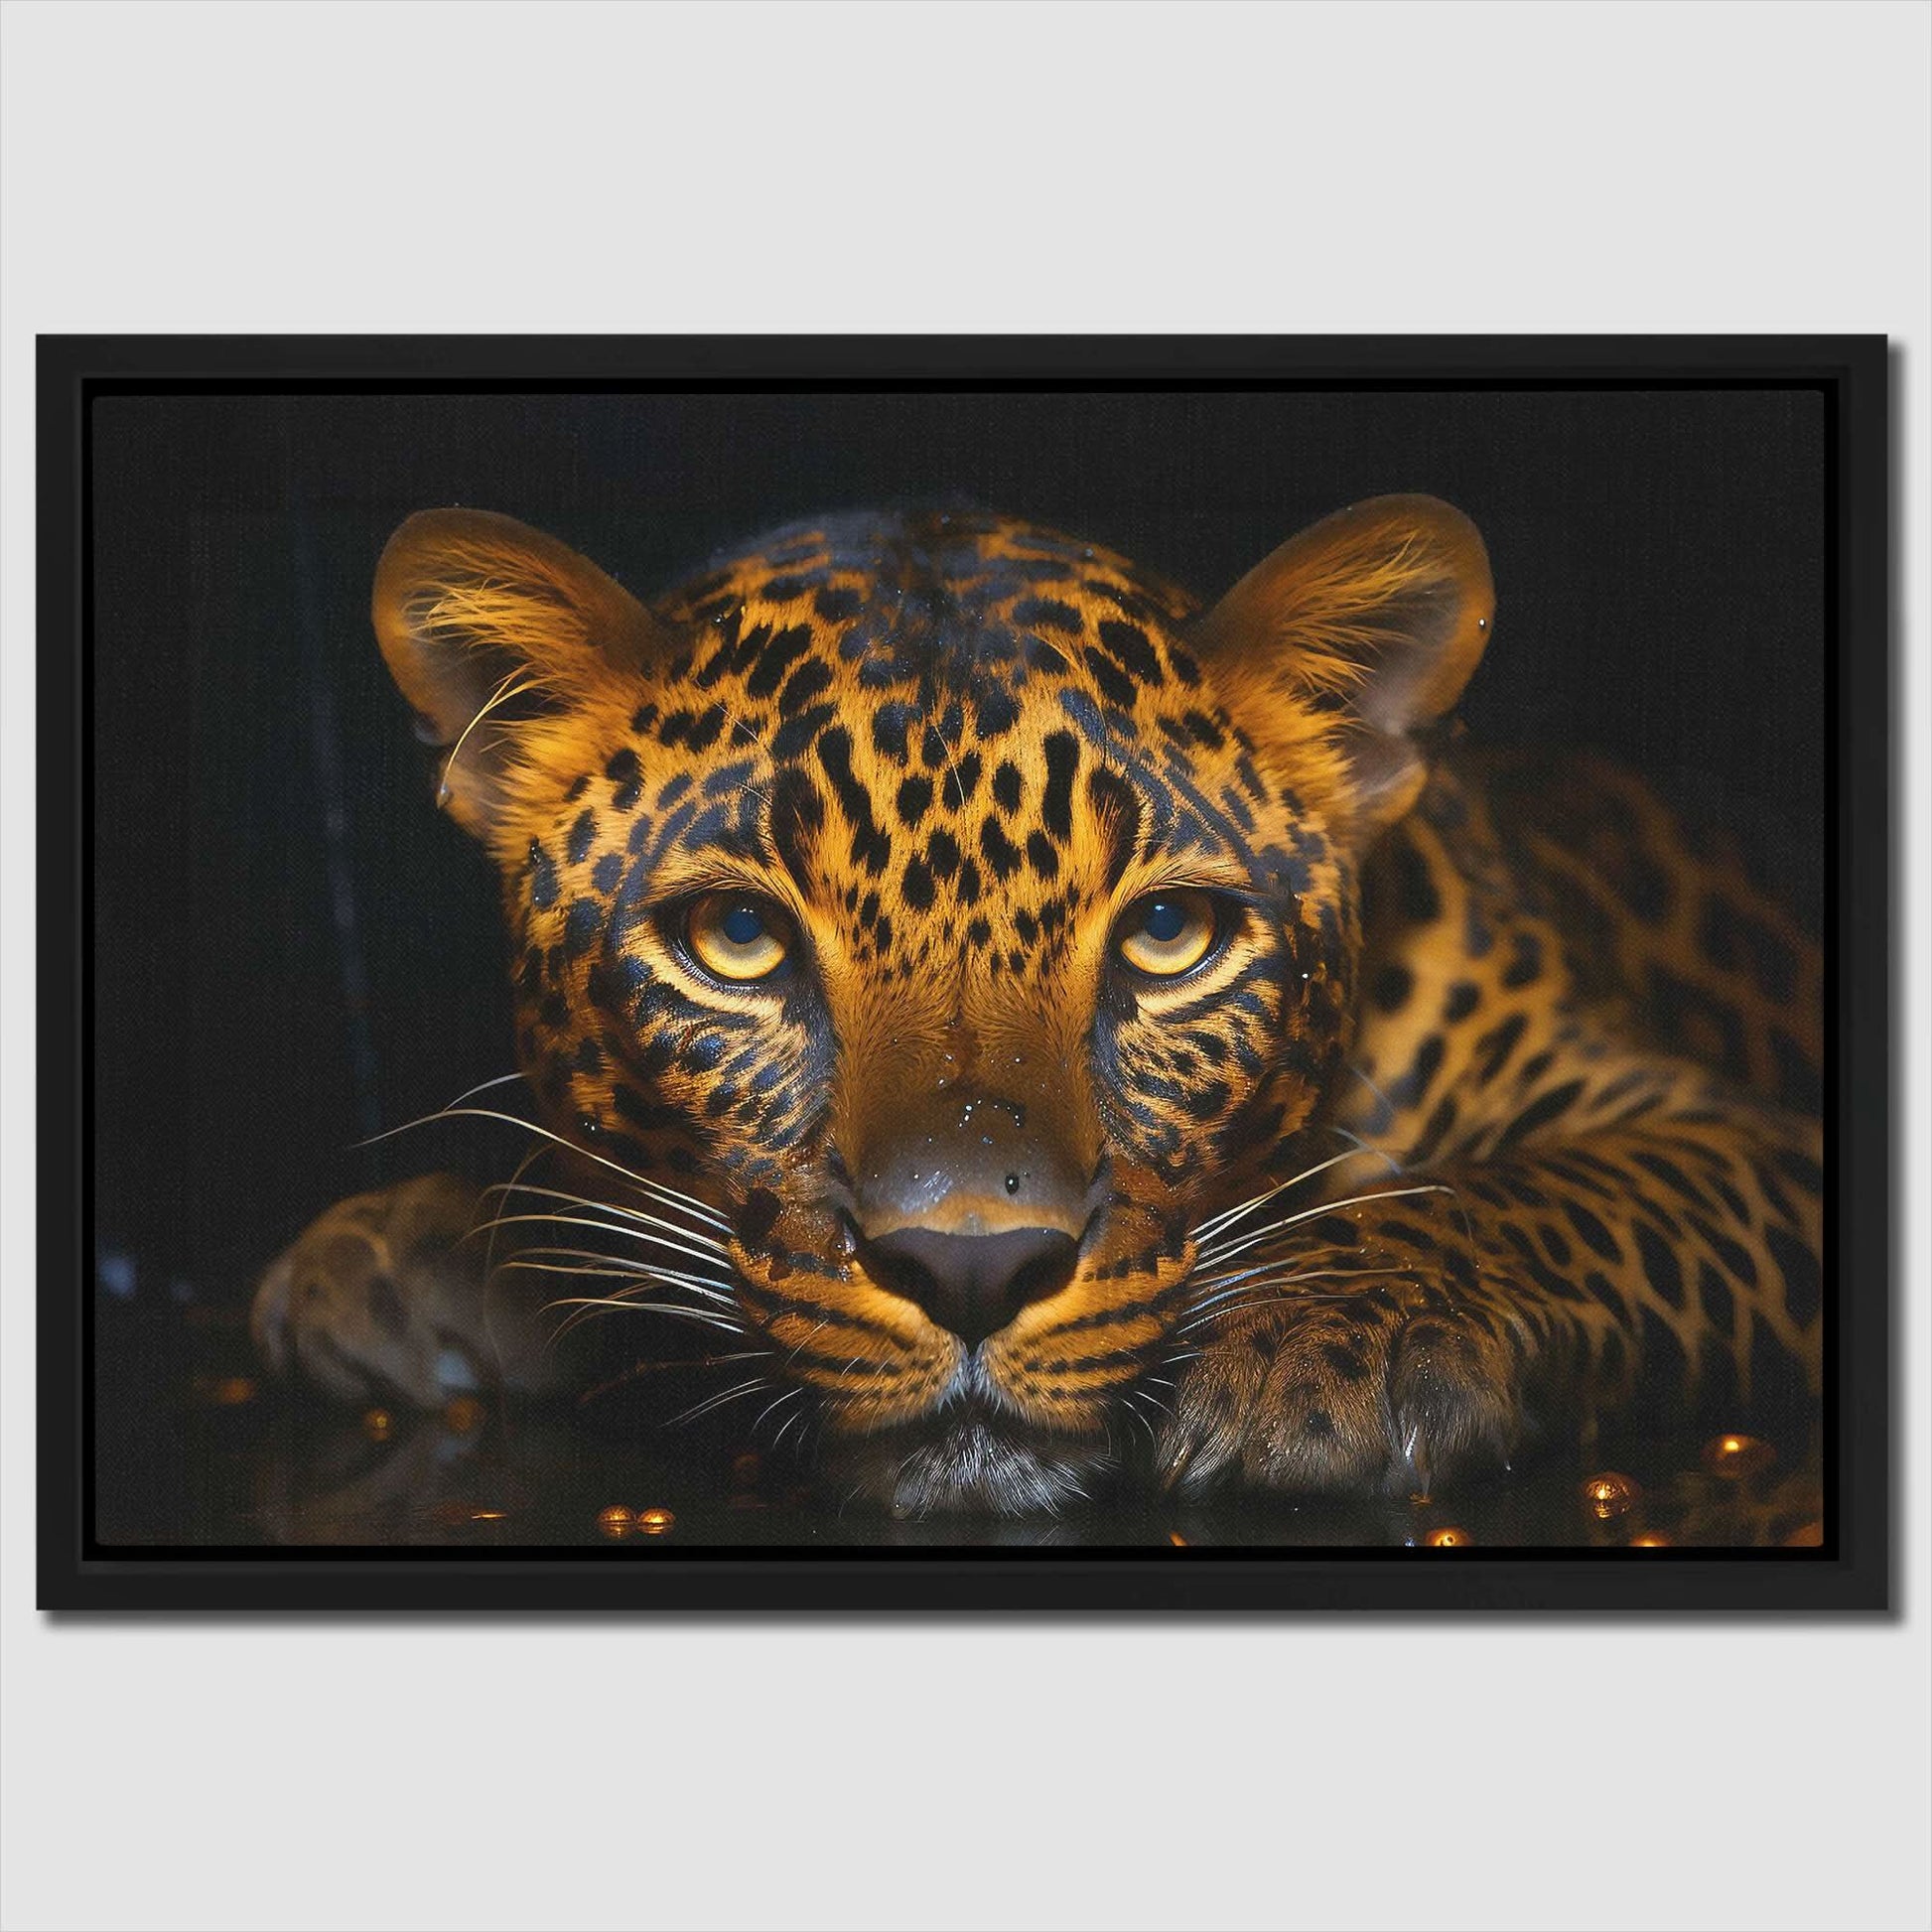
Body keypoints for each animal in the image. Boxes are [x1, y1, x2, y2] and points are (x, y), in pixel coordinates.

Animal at [252, 494, 1825, 1518]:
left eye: (1169, 936)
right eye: (739, 939)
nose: (970, 1268)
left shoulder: (1747, 1135)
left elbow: (1550, 1193)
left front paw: (1322, 1338)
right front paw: (412, 1245)